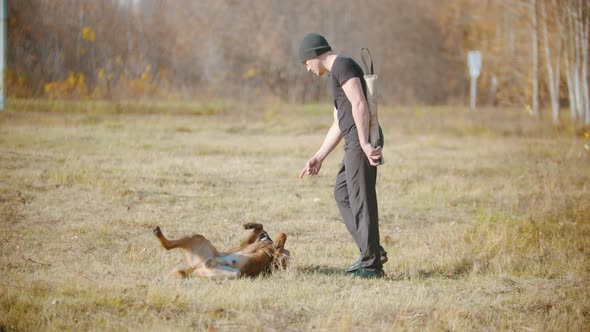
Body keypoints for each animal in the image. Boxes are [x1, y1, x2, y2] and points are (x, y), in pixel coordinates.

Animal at [154, 222, 290, 278]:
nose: (264, 234)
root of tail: (197, 266)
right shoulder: (246, 245)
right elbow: (261, 227)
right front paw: (251, 225)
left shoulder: (275, 260)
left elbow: (282, 237)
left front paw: (277, 241)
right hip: (197, 238)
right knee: (168, 245)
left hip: (233, 273)